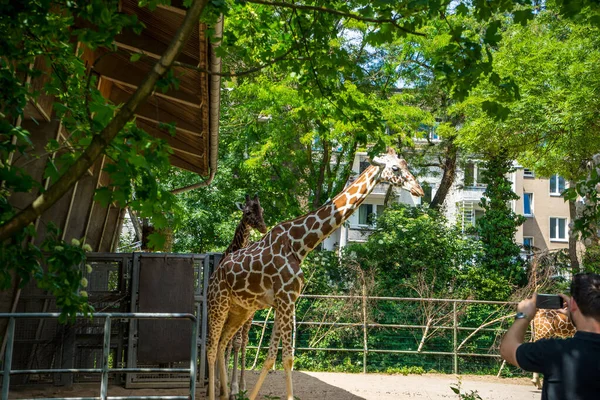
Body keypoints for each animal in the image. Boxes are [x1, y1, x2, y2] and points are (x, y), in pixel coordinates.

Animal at [207, 148, 426, 398]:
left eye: (405, 163)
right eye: (395, 168)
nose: (419, 190)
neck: (299, 245)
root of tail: (214, 276)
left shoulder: (285, 301)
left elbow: (272, 357)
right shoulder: (285, 300)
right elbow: (287, 358)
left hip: (240, 310)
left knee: (223, 343)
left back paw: (226, 391)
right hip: (218, 304)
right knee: (211, 347)